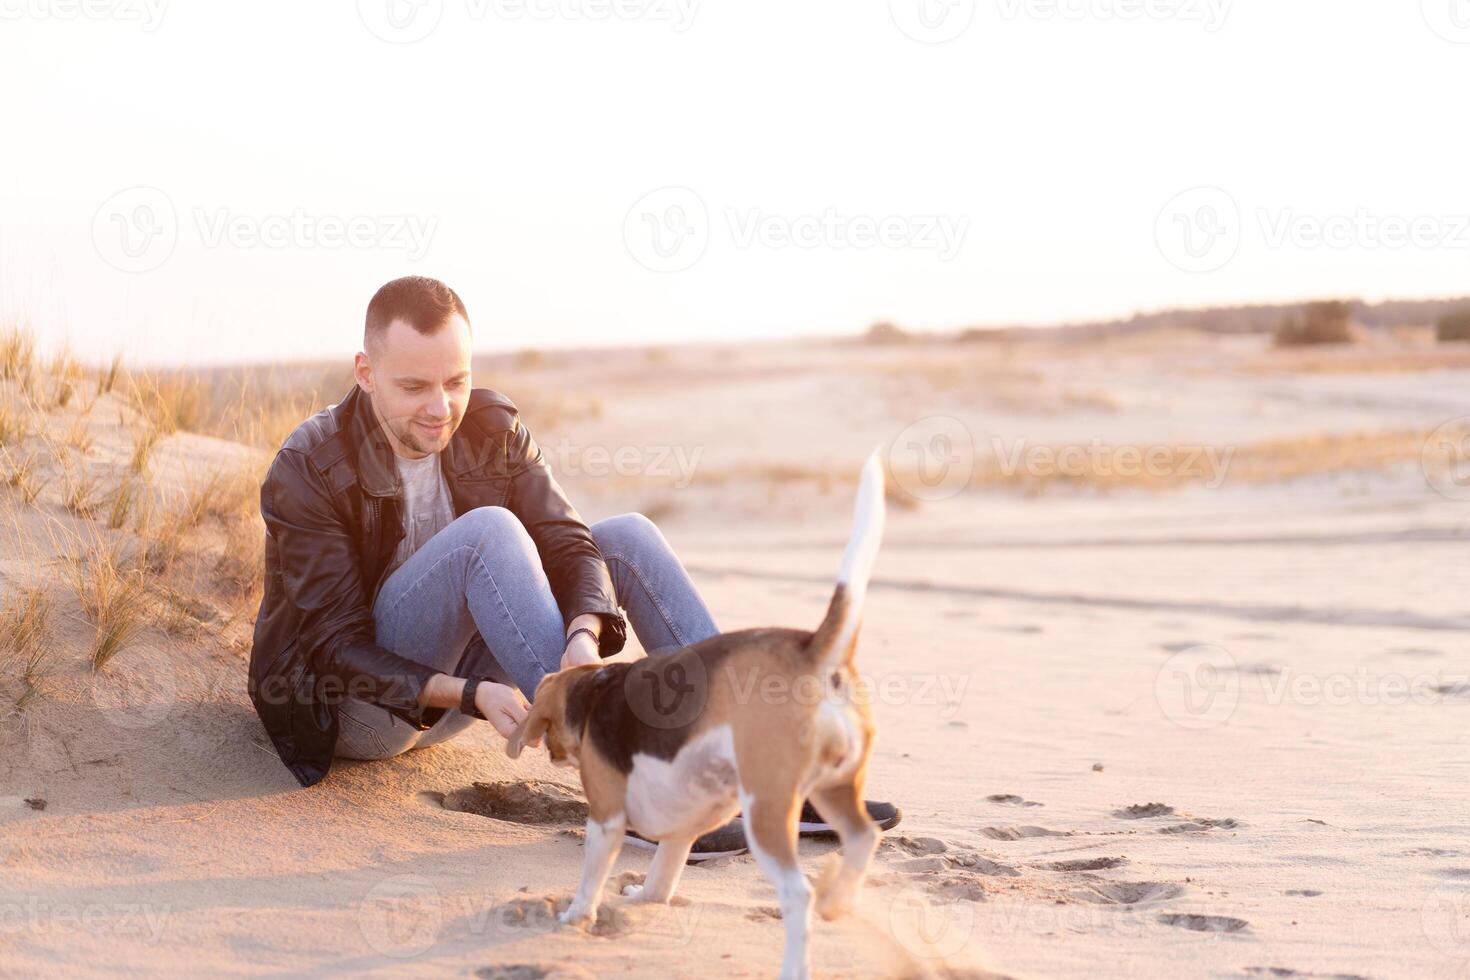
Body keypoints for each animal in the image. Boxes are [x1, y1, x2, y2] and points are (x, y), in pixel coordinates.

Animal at [511, 449, 882, 975]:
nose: (552, 755)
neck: (596, 687)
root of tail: (812, 650)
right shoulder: (681, 831)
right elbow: (661, 879)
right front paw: (642, 896)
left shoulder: (606, 819)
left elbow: (590, 881)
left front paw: (575, 916)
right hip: (834, 788)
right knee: (864, 838)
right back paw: (839, 901)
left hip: (767, 808)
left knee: (797, 893)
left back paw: (797, 960)